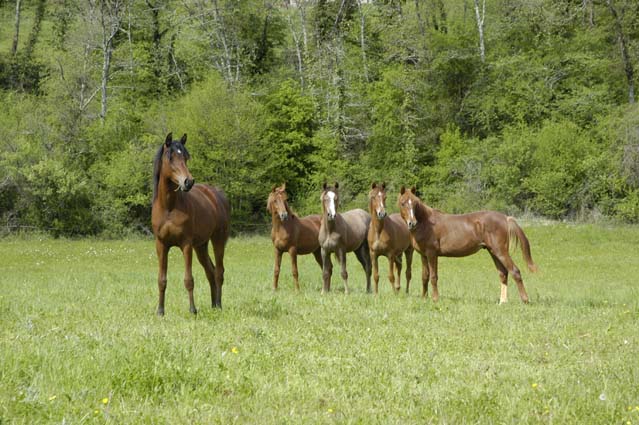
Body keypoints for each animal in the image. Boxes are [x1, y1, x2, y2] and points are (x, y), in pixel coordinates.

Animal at [151, 133, 230, 315]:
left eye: (186, 157)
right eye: (171, 158)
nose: (188, 182)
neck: (169, 207)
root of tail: (217, 194)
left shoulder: (186, 244)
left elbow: (189, 279)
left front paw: (193, 310)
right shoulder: (161, 245)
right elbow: (161, 280)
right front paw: (160, 311)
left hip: (218, 239)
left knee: (219, 272)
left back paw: (219, 305)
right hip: (201, 246)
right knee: (210, 271)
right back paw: (213, 304)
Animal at [397, 187, 537, 304]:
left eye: (415, 203)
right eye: (403, 203)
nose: (412, 223)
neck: (426, 223)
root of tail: (505, 218)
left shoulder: (432, 254)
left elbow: (433, 276)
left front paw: (435, 298)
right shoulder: (423, 255)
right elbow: (425, 276)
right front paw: (424, 297)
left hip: (500, 251)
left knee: (515, 271)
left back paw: (525, 300)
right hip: (493, 252)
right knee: (503, 274)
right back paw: (502, 302)